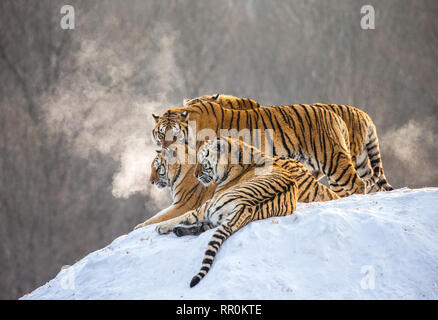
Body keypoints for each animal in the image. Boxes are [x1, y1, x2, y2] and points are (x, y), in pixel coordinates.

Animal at [154, 138, 338, 288]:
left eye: (203, 161)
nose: (195, 174)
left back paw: (164, 227)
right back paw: (180, 230)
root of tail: (246, 206)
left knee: (187, 218)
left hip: (209, 204)